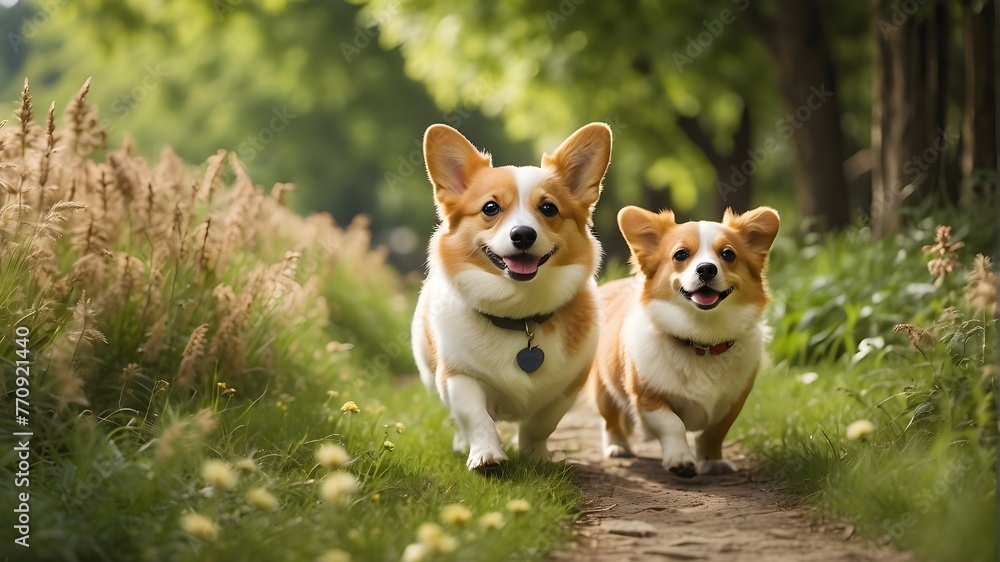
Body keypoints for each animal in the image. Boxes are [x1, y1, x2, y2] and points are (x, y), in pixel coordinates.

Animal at [410, 121, 612, 468]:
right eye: (490, 208)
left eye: (548, 208)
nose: (523, 235)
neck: (519, 315)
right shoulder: (458, 376)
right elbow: (475, 416)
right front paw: (486, 455)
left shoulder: (567, 388)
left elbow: (542, 423)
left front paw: (535, 457)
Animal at [588, 203, 776, 474]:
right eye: (680, 255)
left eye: (728, 254)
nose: (706, 268)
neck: (701, 339)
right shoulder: (648, 398)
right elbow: (673, 424)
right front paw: (680, 460)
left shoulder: (732, 403)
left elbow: (713, 434)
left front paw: (713, 462)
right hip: (605, 389)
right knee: (611, 420)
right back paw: (617, 447)